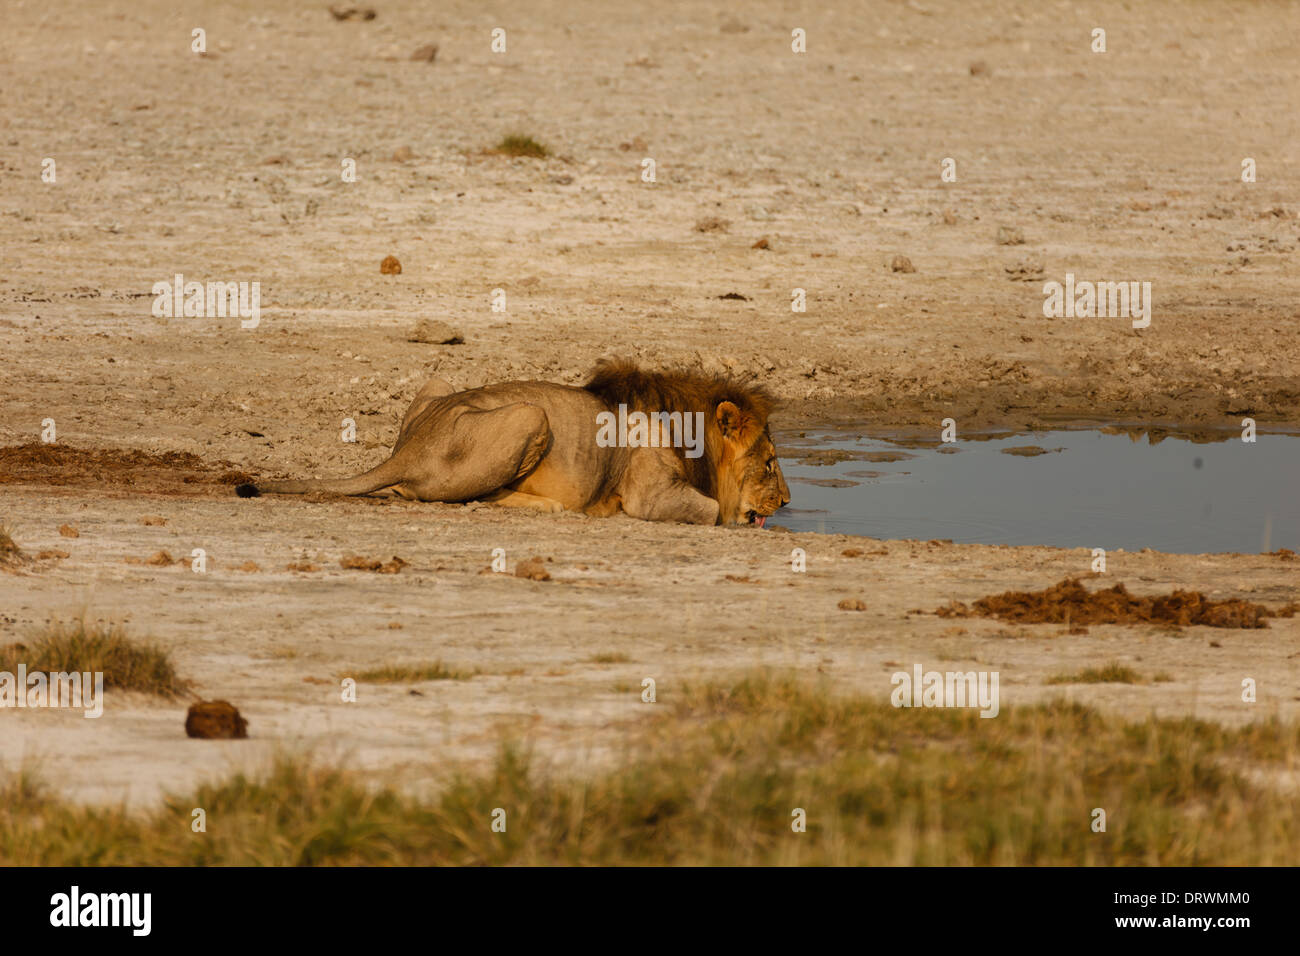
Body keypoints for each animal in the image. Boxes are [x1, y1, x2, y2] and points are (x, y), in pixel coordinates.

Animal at [235, 360, 790, 525]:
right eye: (769, 463)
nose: (787, 501)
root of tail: (407, 450)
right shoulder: (648, 495)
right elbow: (712, 511)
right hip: (530, 414)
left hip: (439, 385)